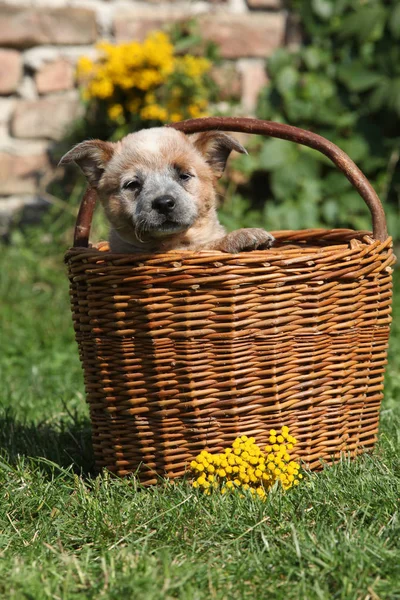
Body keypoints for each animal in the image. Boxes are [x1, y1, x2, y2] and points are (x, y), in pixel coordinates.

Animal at [61, 128, 276, 253]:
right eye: (132, 185)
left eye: (184, 176)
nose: (163, 203)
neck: (173, 242)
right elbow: (206, 246)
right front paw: (240, 236)